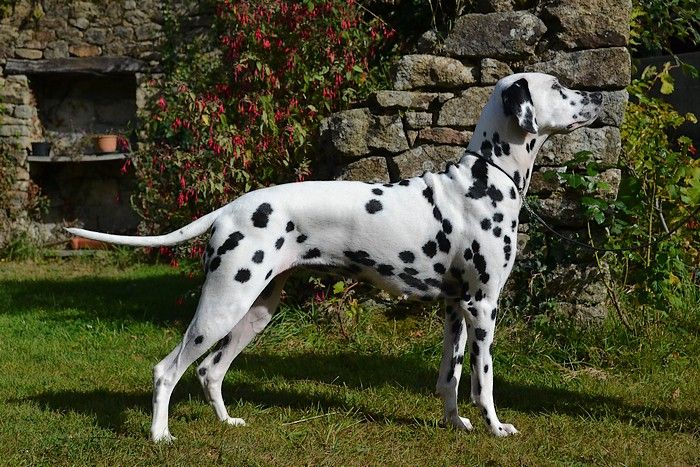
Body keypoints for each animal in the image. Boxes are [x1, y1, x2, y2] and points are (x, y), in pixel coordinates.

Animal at [67, 73, 600, 442]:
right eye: (557, 86)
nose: (596, 97)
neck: (484, 180)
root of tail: (229, 208)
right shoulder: (483, 308)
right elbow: (482, 381)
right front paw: (494, 428)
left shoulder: (455, 308)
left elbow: (449, 378)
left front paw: (456, 425)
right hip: (223, 305)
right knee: (169, 370)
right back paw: (160, 435)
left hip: (256, 311)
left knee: (209, 370)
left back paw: (227, 421)